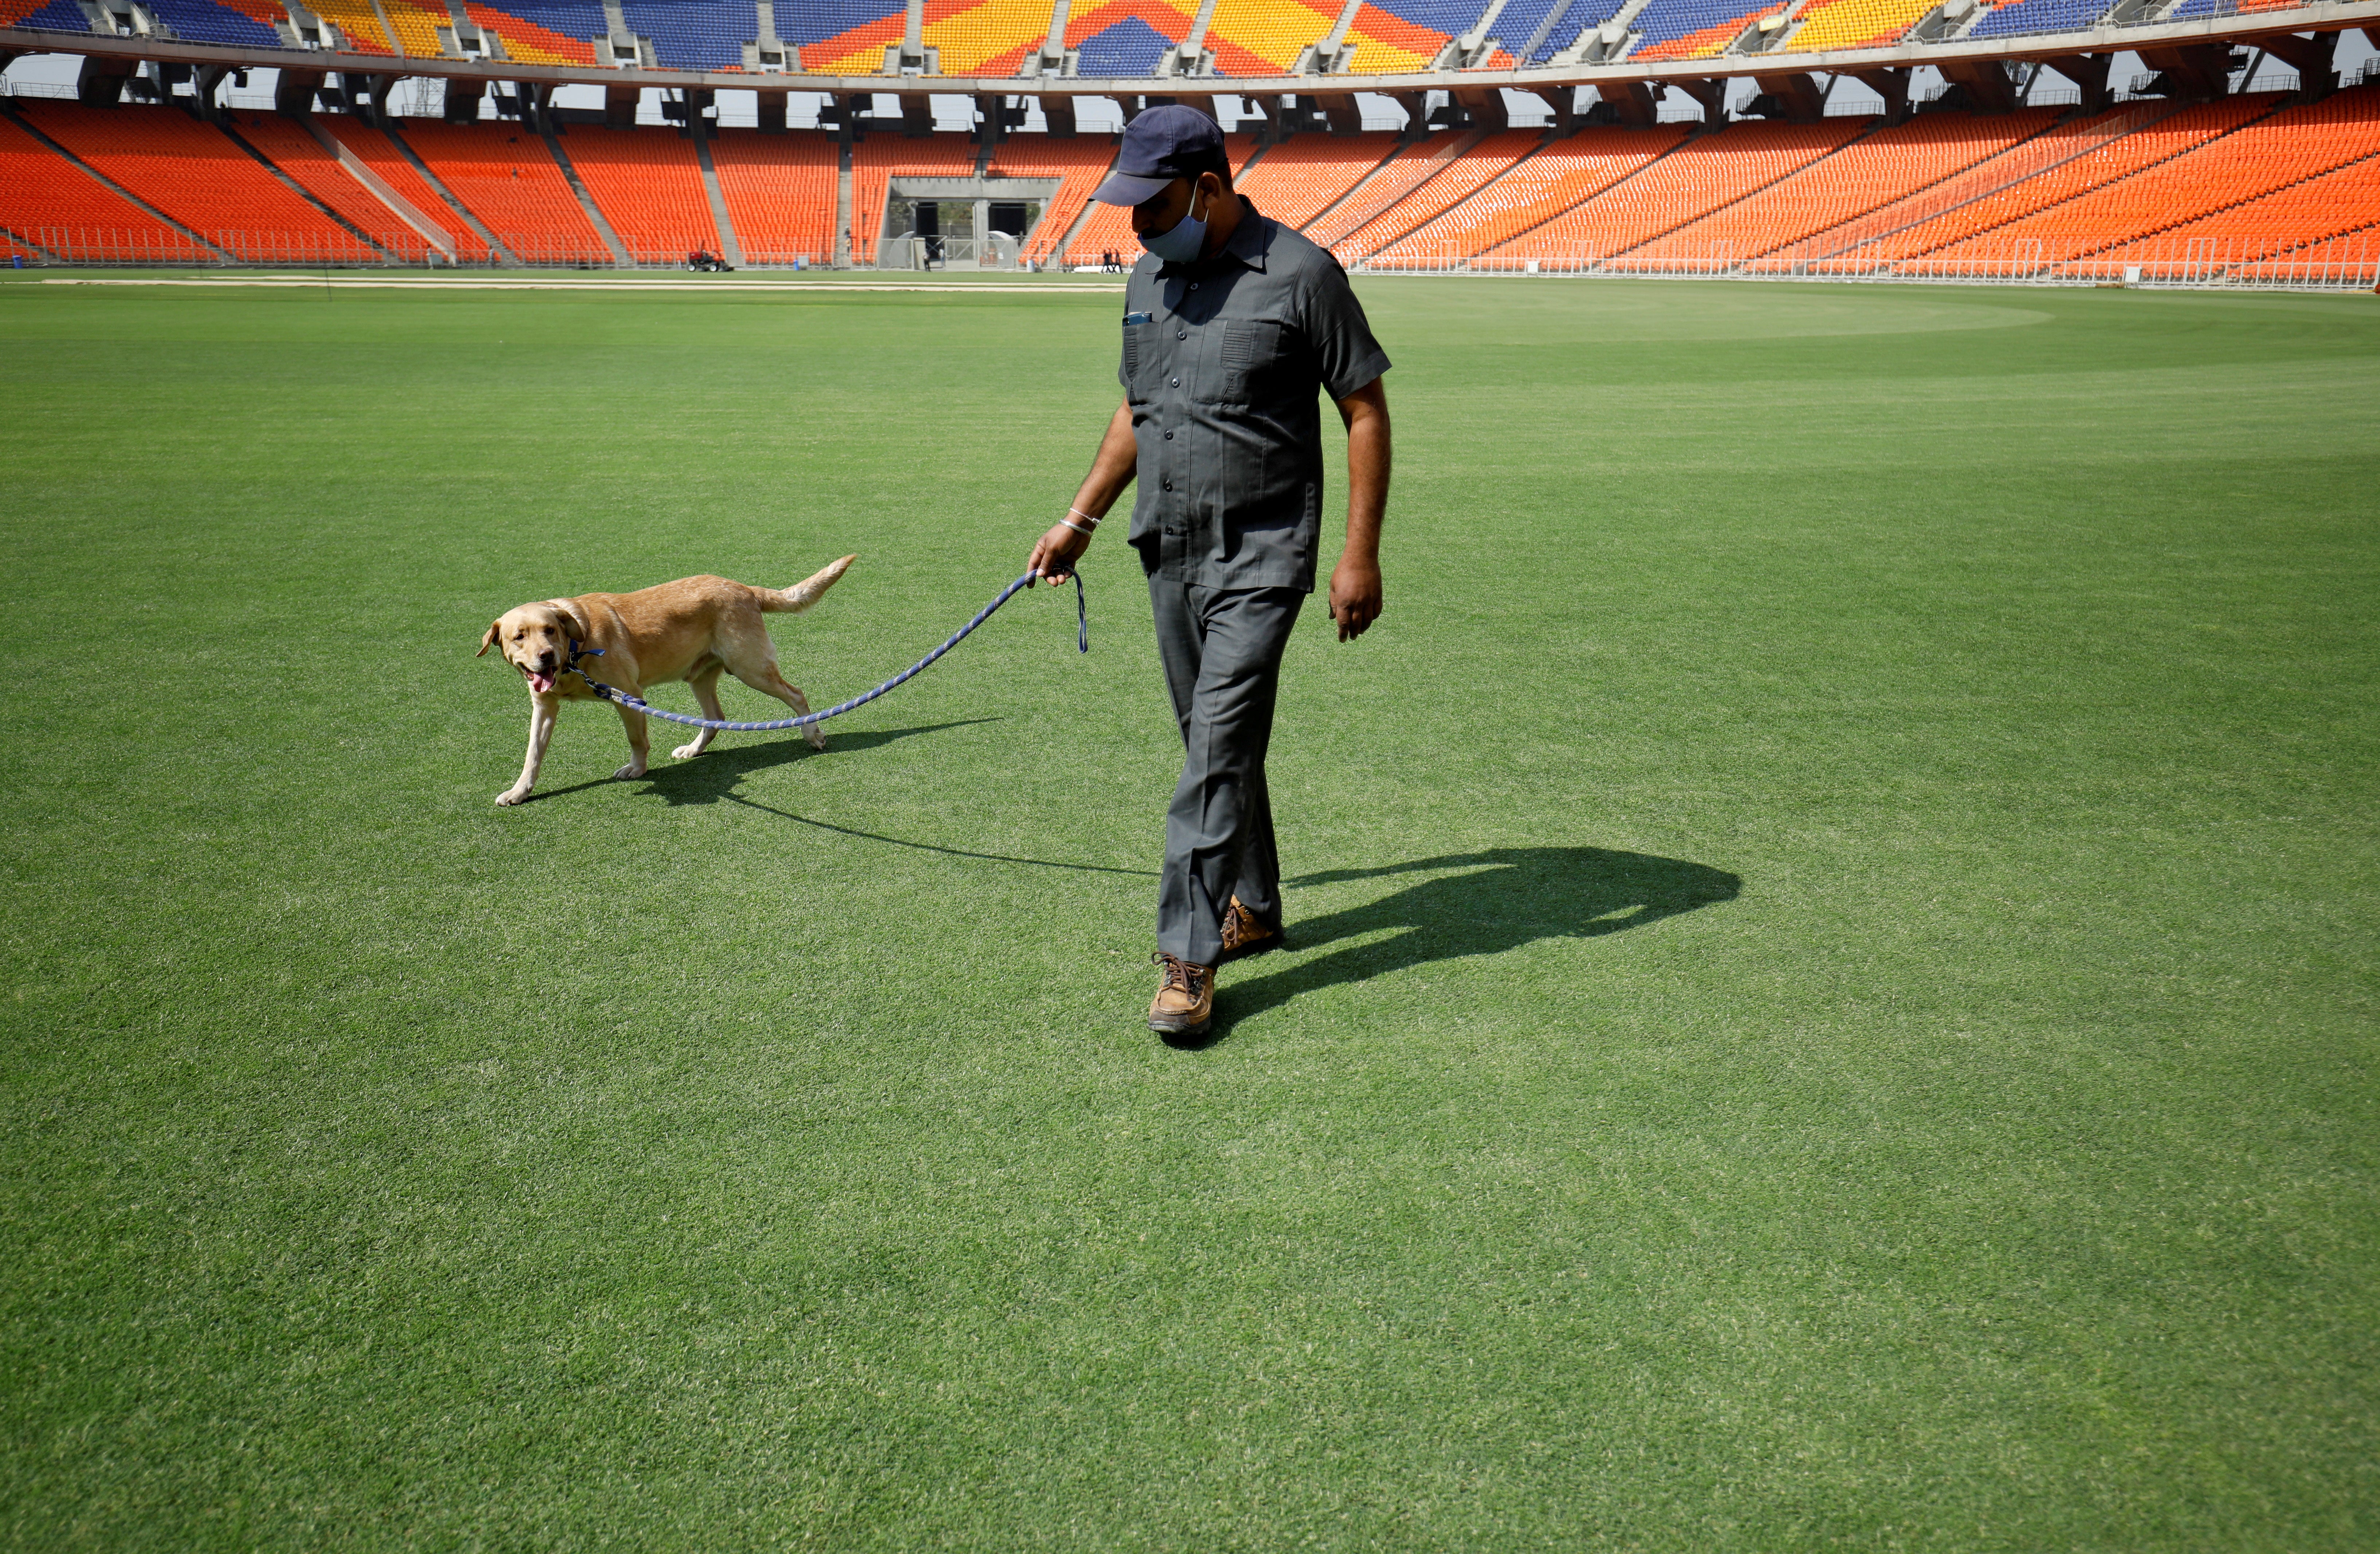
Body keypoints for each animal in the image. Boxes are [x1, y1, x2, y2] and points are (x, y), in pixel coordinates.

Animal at [476, 554, 857, 799]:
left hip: (751, 668)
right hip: (700, 675)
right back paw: (693, 749)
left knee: (796, 694)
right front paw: (519, 791)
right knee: (715, 718)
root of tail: (744, 587)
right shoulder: (544, 707)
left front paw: (637, 770)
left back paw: (813, 734)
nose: (545, 657)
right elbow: (533, 755)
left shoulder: (629, 694)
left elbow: (637, 740)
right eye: (519, 637)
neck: (576, 650)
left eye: (550, 630)